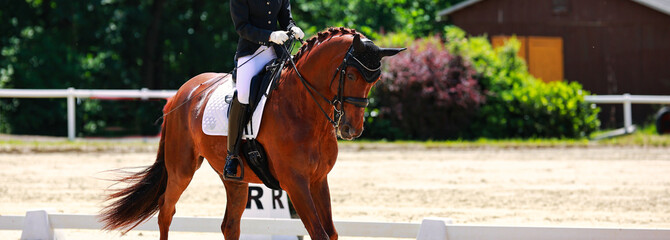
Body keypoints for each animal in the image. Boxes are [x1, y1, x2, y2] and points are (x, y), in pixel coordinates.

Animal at [100, 28, 404, 240]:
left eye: (375, 80)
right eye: (350, 76)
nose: (352, 129)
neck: (303, 107)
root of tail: (179, 95)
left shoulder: (318, 180)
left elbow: (330, 233)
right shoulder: (295, 183)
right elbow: (318, 233)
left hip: (235, 178)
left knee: (229, 225)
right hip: (181, 169)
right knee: (166, 213)